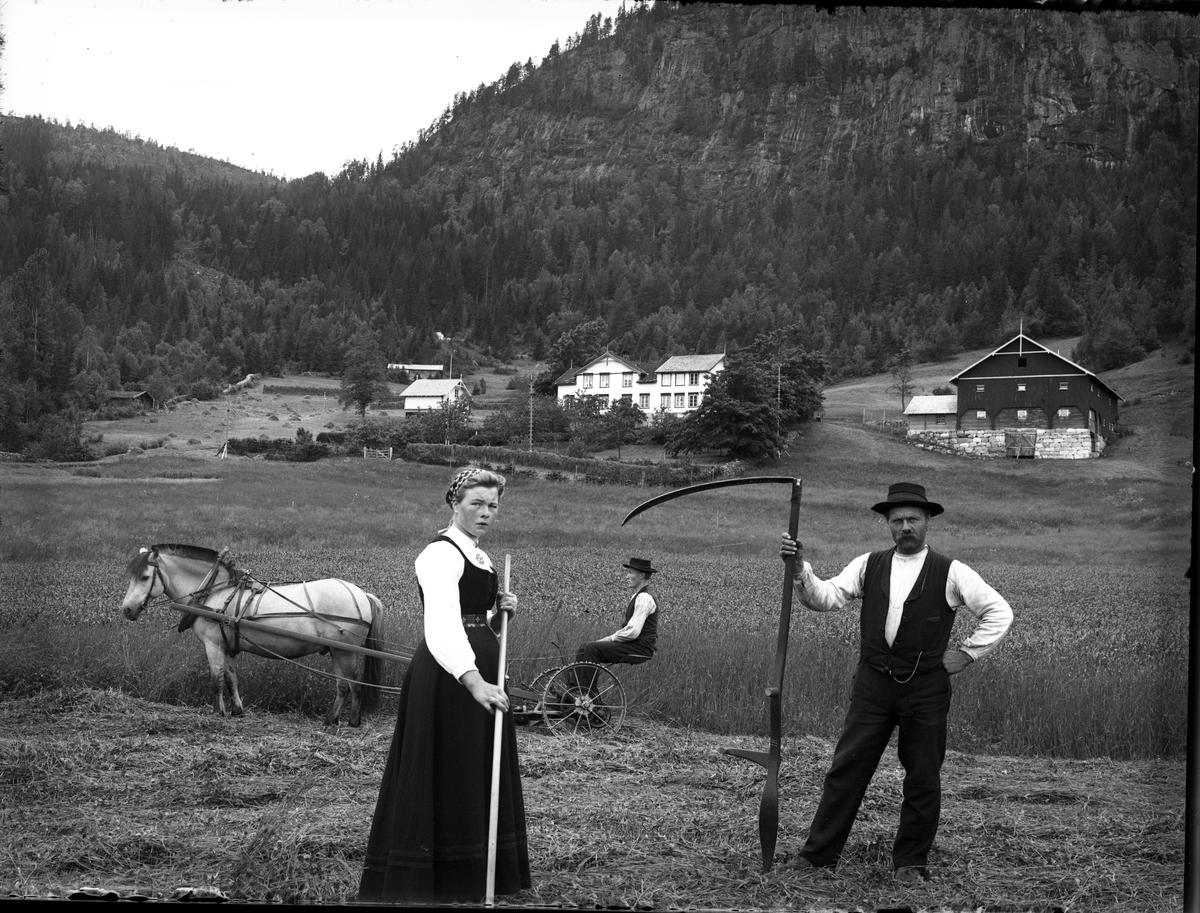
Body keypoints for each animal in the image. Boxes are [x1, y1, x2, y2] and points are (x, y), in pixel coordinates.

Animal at [122, 542, 386, 724]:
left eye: (145, 576)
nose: (126, 610)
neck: (215, 593)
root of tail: (362, 594)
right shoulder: (227, 645)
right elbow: (231, 679)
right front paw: (237, 710)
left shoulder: (213, 644)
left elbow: (216, 680)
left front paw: (217, 712)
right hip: (336, 650)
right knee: (345, 686)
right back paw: (337, 720)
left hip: (345, 651)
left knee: (352, 685)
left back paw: (347, 721)